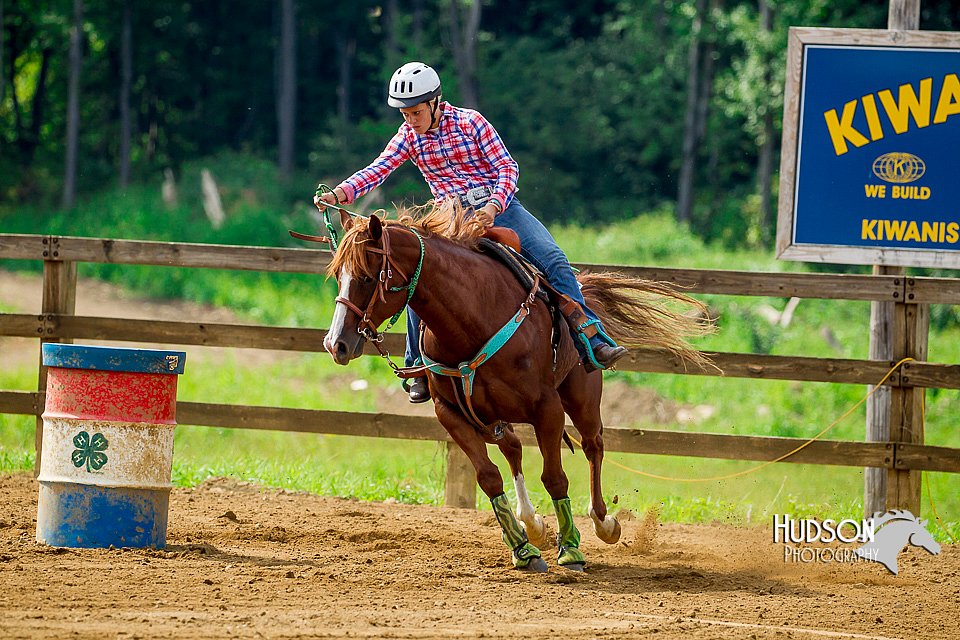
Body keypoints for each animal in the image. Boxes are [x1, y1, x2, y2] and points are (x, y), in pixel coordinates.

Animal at [324, 208, 712, 572]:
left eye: (367, 276)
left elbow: (554, 478)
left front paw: (571, 551)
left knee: (593, 445)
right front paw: (524, 550)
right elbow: (489, 477)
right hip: (489, 416)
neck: (471, 317)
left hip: (581, 398)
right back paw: (532, 525)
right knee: (513, 448)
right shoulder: (451, 414)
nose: (335, 343)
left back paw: (603, 523)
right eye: (338, 276)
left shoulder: (547, 408)